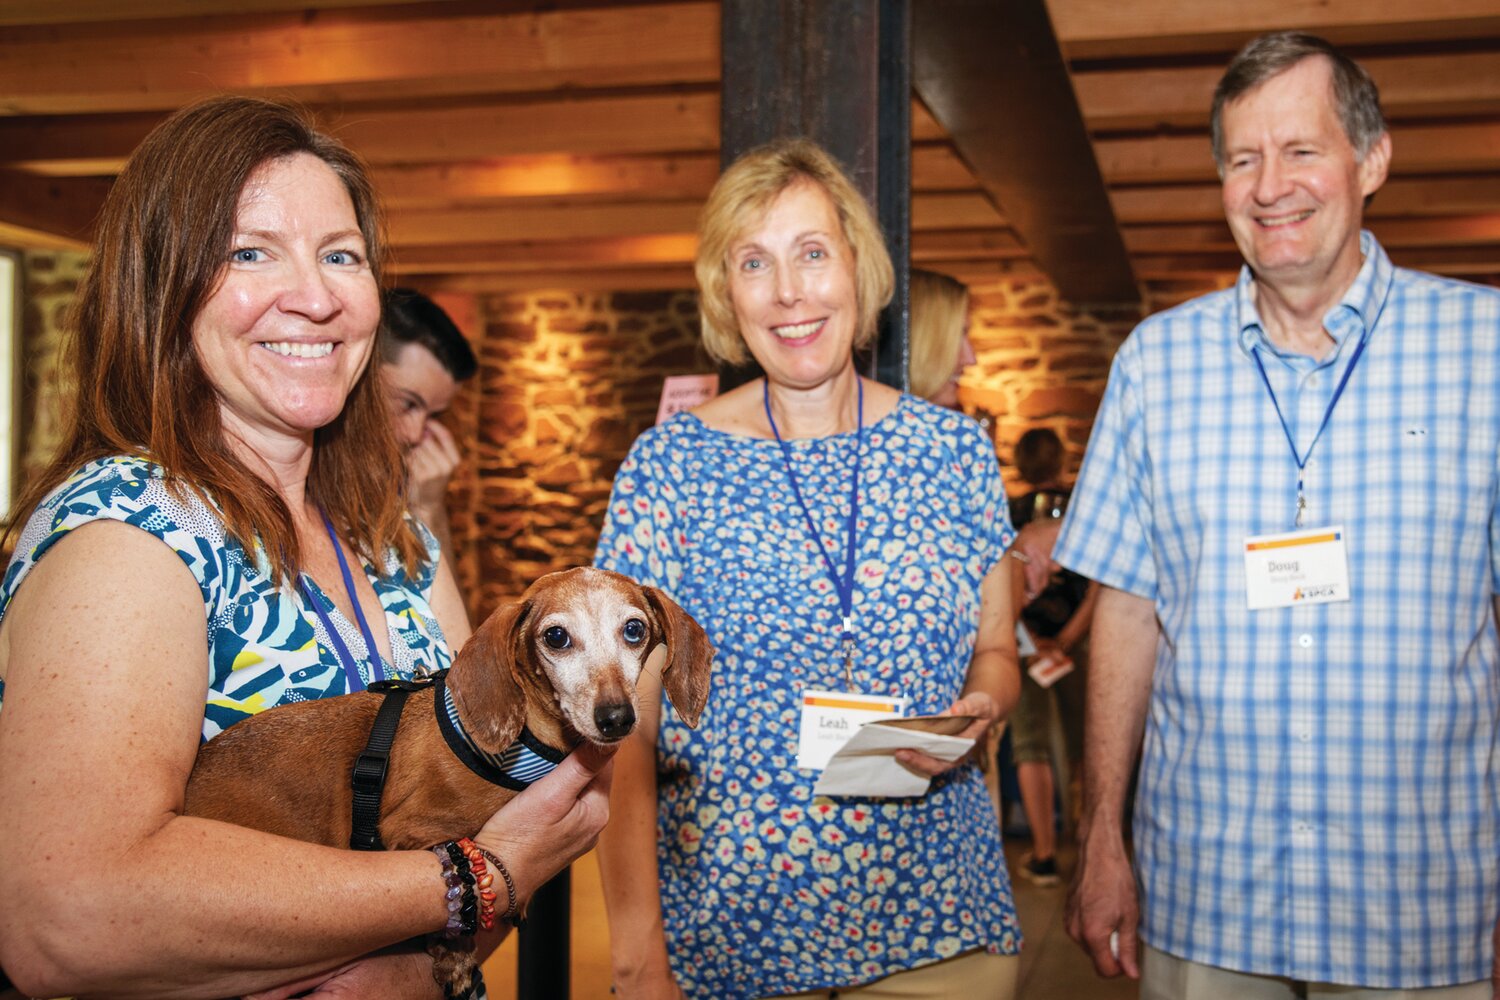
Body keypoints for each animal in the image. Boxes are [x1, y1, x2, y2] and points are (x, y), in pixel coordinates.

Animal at [183, 566, 714, 995]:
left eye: (634, 629)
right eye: (557, 637)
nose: (616, 718)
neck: (524, 744)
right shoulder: (408, 832)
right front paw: (452, 954)